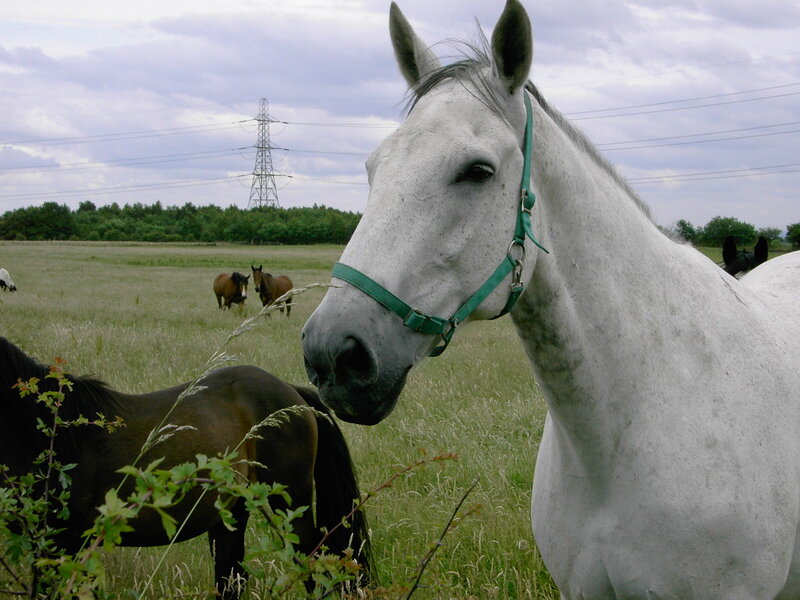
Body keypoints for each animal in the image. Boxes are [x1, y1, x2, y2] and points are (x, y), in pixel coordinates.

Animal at [0, 337, 371, 600]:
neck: (52, 435)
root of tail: (293, 394)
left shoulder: (64, 544)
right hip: (232, 514)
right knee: (232, 578)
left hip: (290, 505)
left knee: (315, 565)